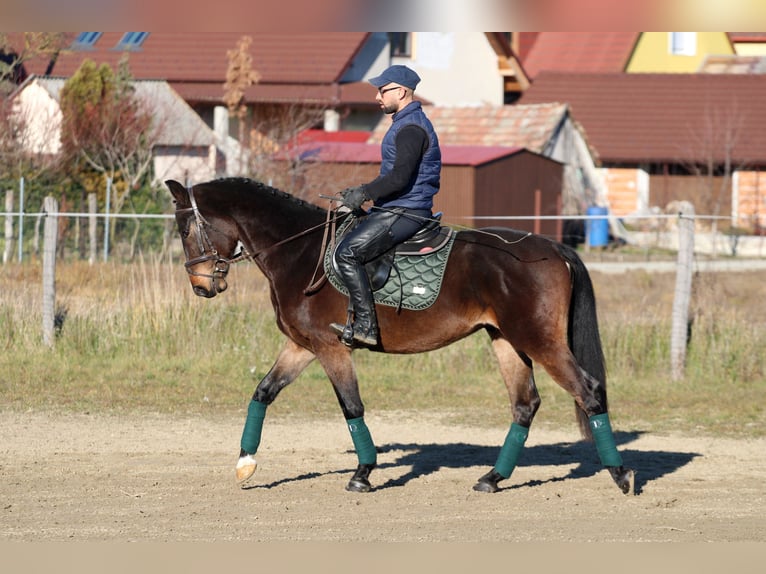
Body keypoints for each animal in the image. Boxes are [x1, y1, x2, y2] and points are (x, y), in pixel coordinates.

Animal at [166, 178, 636, 498]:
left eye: (186, 230)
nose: (201, 286)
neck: (297, 251)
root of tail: (554, 248)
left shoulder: (331, 348)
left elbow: (351, 407)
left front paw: (362, 473)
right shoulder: (303, 346)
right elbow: (263, 392)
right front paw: (245, 464)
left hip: (540, 341)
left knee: (589, 392)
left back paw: (620, 474)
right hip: (507, 340)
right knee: (525, 404)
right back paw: (492, 478)